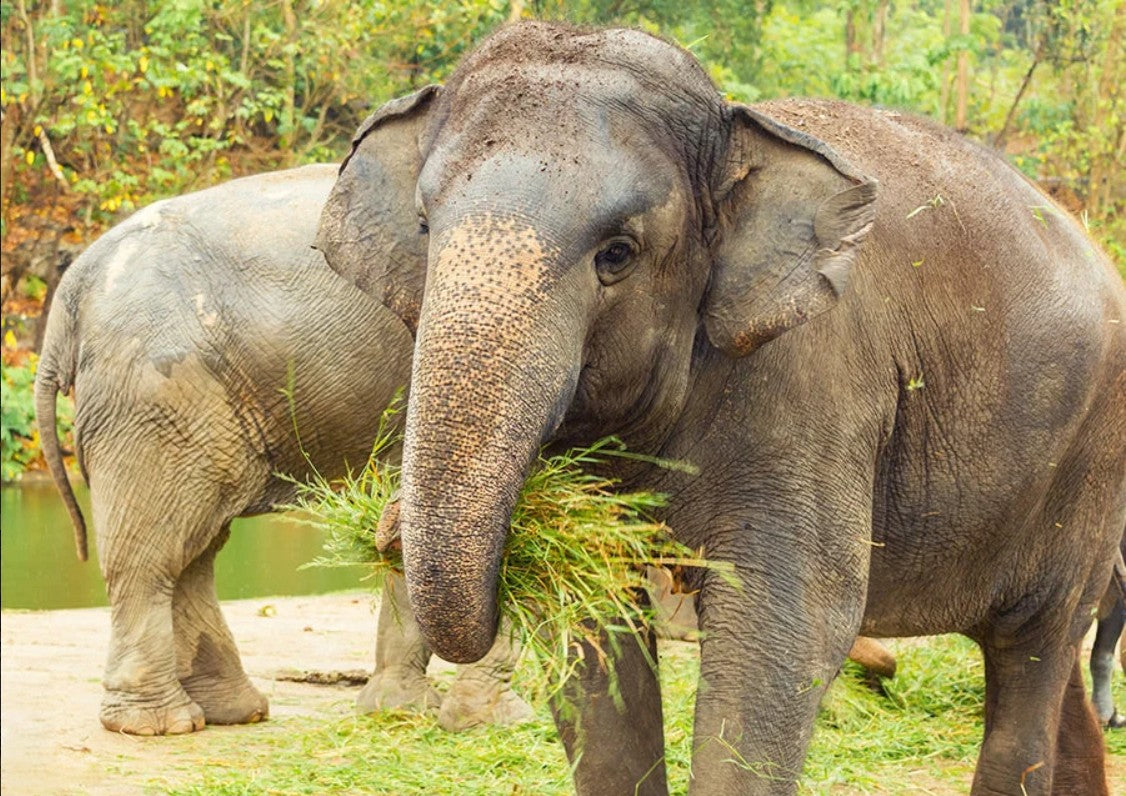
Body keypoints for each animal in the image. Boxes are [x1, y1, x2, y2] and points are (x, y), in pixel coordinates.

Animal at [34, 164, 531, 735]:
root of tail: (71, 292)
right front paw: (492, 719)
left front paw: (405, 711)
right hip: (154, 393)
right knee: (157, 551)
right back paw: (160, 724)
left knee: (195, 547)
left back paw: (231, 712)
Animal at [316, 22, 1126, 796]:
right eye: (425, 229)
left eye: (618, 254)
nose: (384, 528)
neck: (739, 133)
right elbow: (591, 622)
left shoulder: (813, 394)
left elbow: (785, 628)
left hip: (1088, 471)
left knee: (1034, 651)